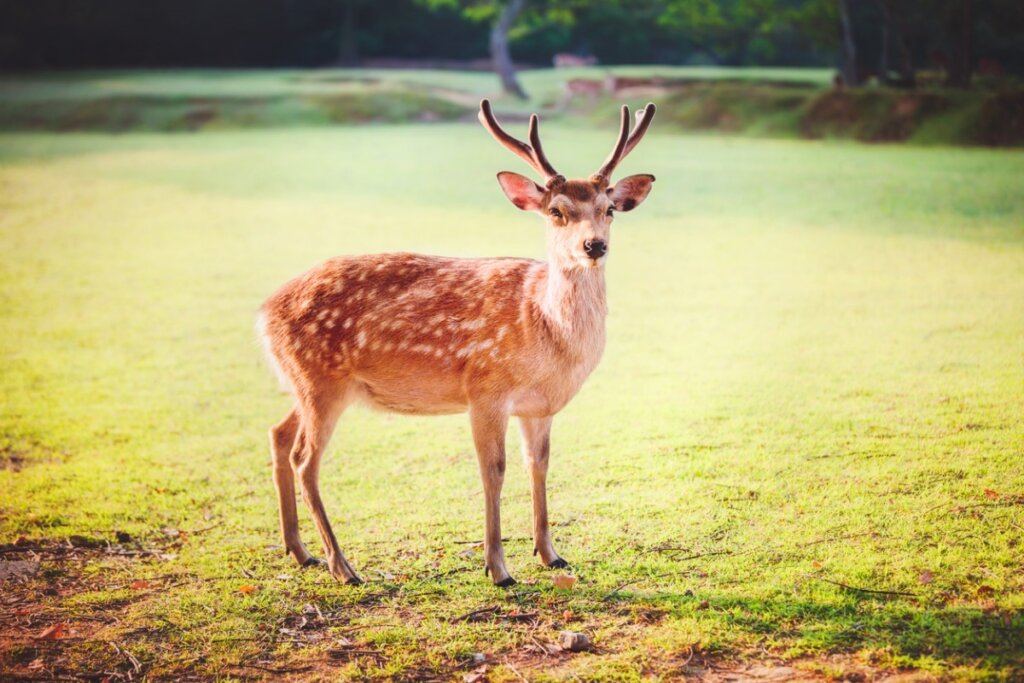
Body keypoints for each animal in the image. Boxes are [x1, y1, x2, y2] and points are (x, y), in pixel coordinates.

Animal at [256, 97, 655, 589]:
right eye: (556, 211)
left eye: (610, 209)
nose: (594, 246)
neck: (546, 331)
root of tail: (264, 312)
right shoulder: (485, 389)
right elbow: (494, 471)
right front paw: (498, 568)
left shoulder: (538, 406)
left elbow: (538, 464)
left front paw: (550, 554)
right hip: (319, 380)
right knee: (304, 459)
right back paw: (343, 567)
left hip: (308, 383)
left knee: (277, 435)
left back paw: (300, 551)